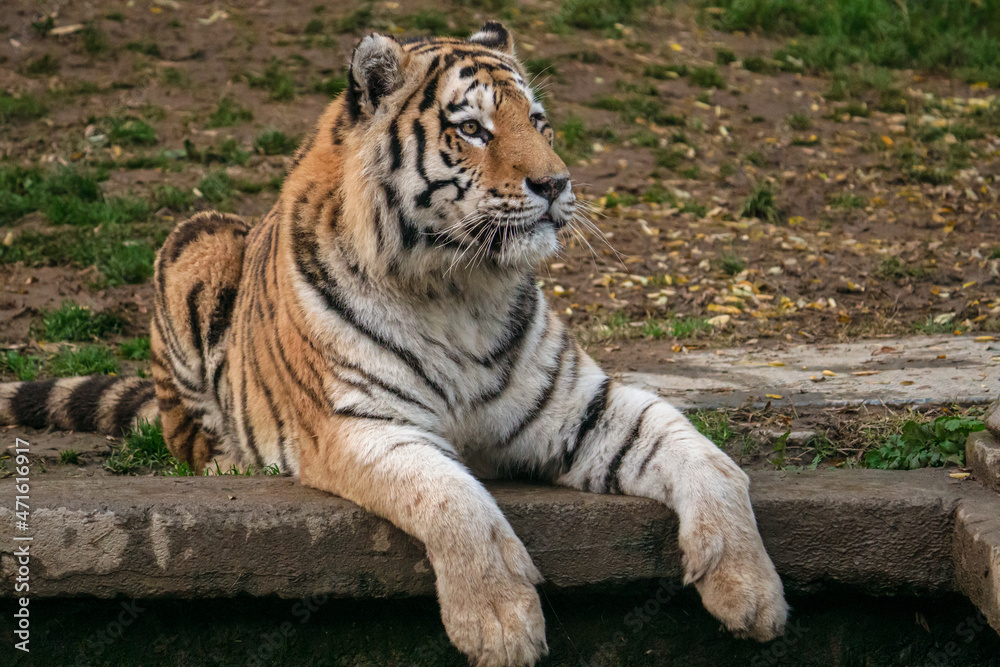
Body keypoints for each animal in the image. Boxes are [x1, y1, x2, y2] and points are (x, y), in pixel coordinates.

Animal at [0, 22, 787, 665]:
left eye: (537, 120)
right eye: (473, 130)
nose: (558, 183)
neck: (461, 289)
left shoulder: (579, 405)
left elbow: (708, 458)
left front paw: (752, 591)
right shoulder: (364, 425)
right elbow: (456, 500)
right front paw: (500, 624)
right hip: (195, 239)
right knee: (187, 437)